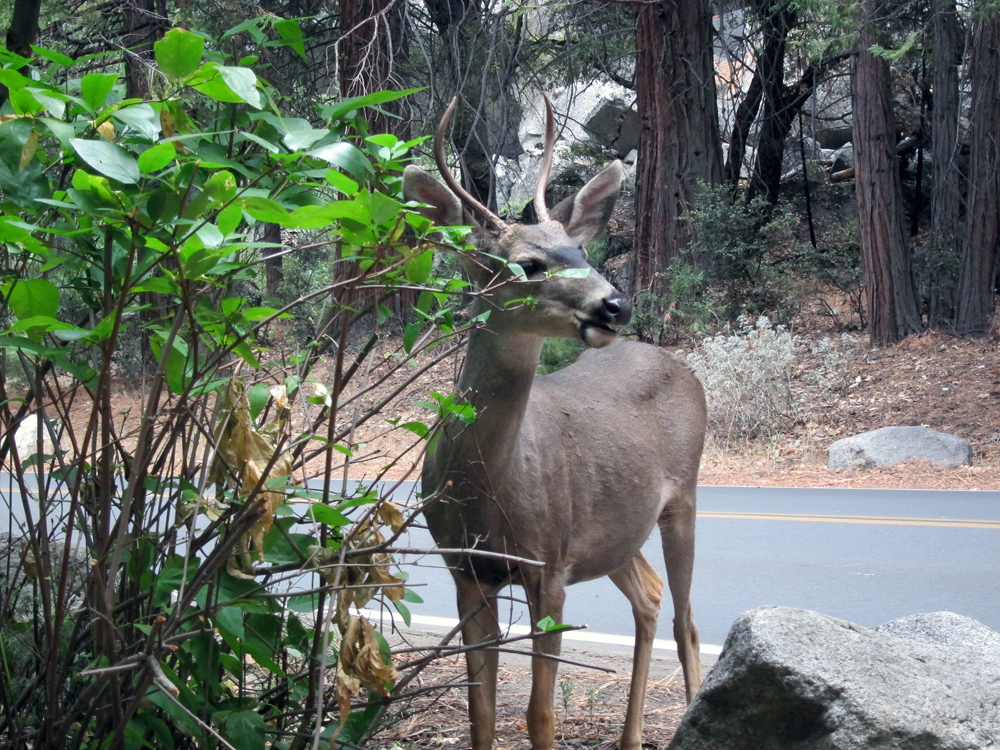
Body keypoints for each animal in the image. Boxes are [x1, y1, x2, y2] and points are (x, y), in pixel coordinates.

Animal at [402, 97, 708, 750]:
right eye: (527, 264)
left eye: (582, 252)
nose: (614, 304)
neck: (487, 485)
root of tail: (679, 363)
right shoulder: (467, 569)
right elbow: (482, 712)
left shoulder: (549, 564)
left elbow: (539, 715)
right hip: (616, 530)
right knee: (650, 596)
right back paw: (629, 738)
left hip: (686, 494)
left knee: (688, 620)